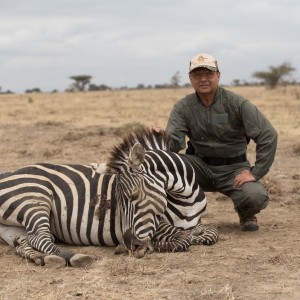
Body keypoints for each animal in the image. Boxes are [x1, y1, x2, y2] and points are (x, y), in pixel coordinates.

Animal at [0, 126, 218, 268]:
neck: (186, 200)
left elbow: (211, 233)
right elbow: (183, 239)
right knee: (40, 237)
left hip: (11, 227)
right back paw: (74, 257)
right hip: (35, 198)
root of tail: (8, 175)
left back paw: (39, 258)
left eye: (133, 195)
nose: (129, 244)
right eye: (117, 201)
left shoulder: (194, 223)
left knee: (23, 243)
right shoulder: (158, 225)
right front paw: (153, 246)